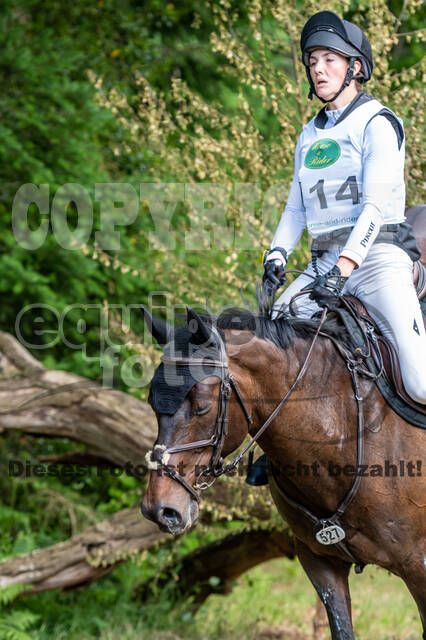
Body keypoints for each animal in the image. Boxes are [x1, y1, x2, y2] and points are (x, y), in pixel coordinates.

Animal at [141, 223, 426, 640]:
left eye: (202, 404)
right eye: (150, 400)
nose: (160, 510)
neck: (341, 430)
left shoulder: (418, 565)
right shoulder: (320, 563)